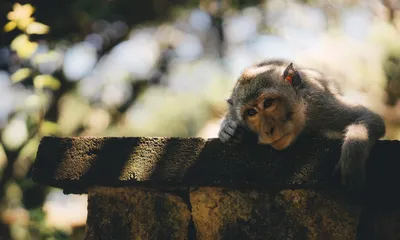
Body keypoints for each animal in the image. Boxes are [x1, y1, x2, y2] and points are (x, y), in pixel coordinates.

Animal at [220, 58, 386, 189]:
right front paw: (227, 130)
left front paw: (352, 158)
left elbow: (369, 117)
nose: (268, 130)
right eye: (251, 113)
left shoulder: (318, 105)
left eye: (268, 103)